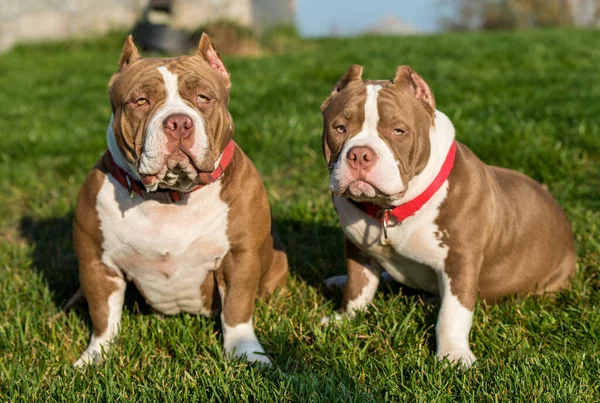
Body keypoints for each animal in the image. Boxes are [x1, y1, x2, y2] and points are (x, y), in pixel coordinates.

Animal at [72, 34, 288, 368]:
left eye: (203, 97)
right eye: (141, 101)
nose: (178, 122)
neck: (170, 196)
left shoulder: (240, 256)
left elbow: (237, 309)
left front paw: (247, 353)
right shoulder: (98, 263)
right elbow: (103, 316)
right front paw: (95, 356)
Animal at [318, 64, 576, 370]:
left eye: (398, 130)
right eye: (340, 128)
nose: (360, 154)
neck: (389, 211)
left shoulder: (460, 260)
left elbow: (453, 314)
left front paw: (453, 355)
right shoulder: (357, 247)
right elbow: (358, 287)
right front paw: (343, 319)